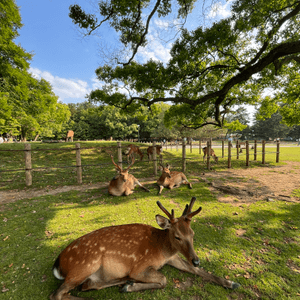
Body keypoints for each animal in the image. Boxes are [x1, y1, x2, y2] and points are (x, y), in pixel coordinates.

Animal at [50, 197, 240, 300]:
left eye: (192, 233)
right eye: (177, 236)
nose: (197, 260)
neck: (162, 249)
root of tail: (58, 263)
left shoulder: (173, 258)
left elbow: (198, 272)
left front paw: (232, 283)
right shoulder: (140, 266)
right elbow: (163, 280)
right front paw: (131, 286)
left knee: (88, 285)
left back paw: (123, 282)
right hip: (85, 264)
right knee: (57, 294)